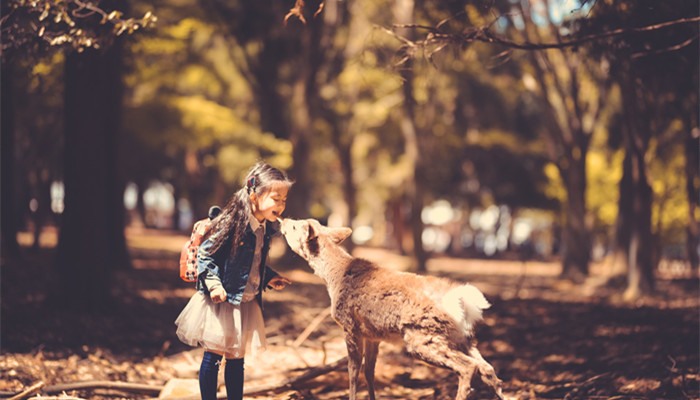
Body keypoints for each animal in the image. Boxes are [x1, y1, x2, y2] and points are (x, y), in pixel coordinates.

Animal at [278, 219, 504, 400]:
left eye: (296, 226)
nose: (284, 220)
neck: (333, 277)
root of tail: (462, 301)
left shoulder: (349, 325)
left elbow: (353, 371)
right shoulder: (372, 335)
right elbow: (369, 371)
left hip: (423, 337)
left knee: (468, 367)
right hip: (462, 338)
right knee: (488, 368)